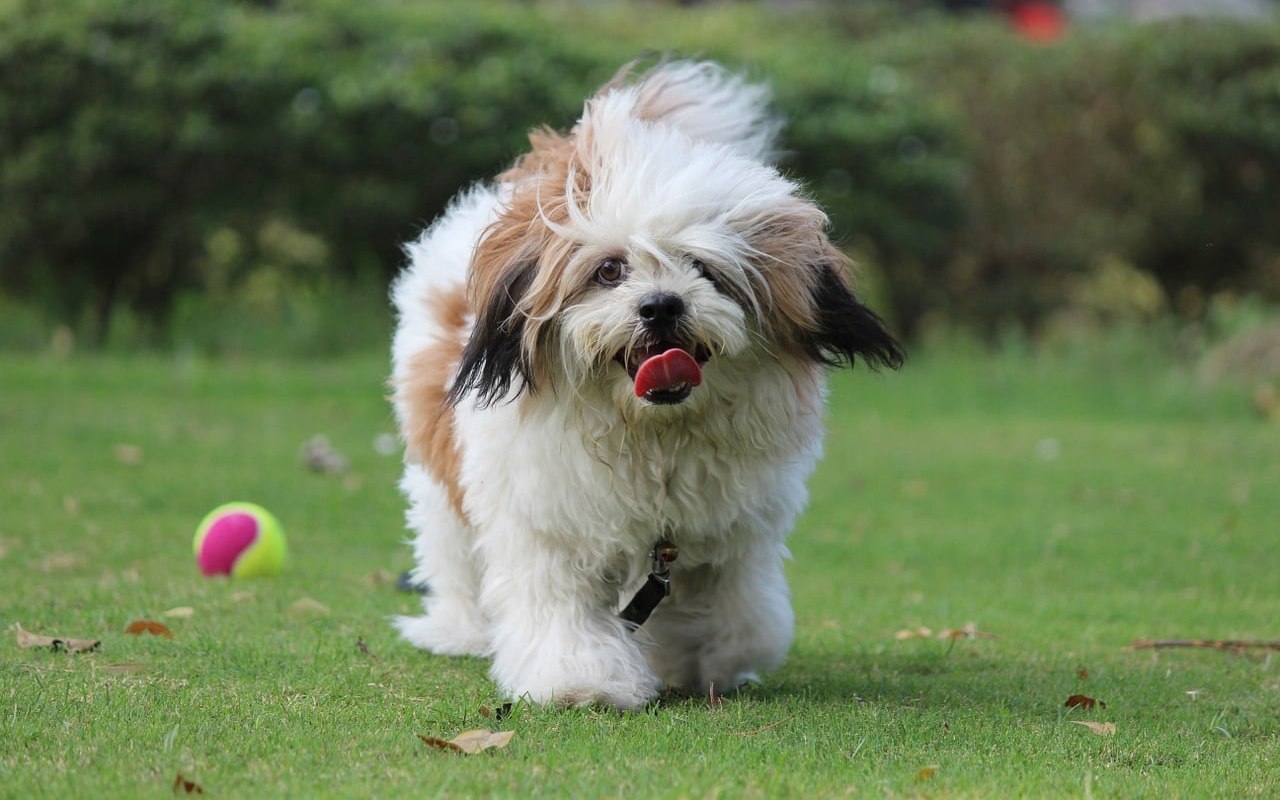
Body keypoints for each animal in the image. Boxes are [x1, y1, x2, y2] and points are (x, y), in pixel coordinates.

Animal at [389, 59, 901, 706]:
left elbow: (740, 617)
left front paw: (701, 659)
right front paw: (582, 679)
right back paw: (460, 630)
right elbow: (561, 611)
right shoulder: (545, 522)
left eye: (704, 269)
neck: (652, 433)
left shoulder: (730, 534)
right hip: (442, 483)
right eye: (610, 271)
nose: (661, 306)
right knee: (452, 553)